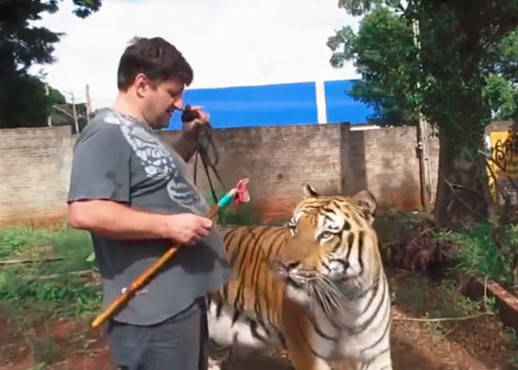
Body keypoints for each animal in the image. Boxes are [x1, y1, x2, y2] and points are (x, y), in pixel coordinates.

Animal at [207, 185, 394, 370]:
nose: (285, 264)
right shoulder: (307, 354)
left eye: (326, 234)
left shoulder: (376, 355)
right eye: (294, 228)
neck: (348, 301)